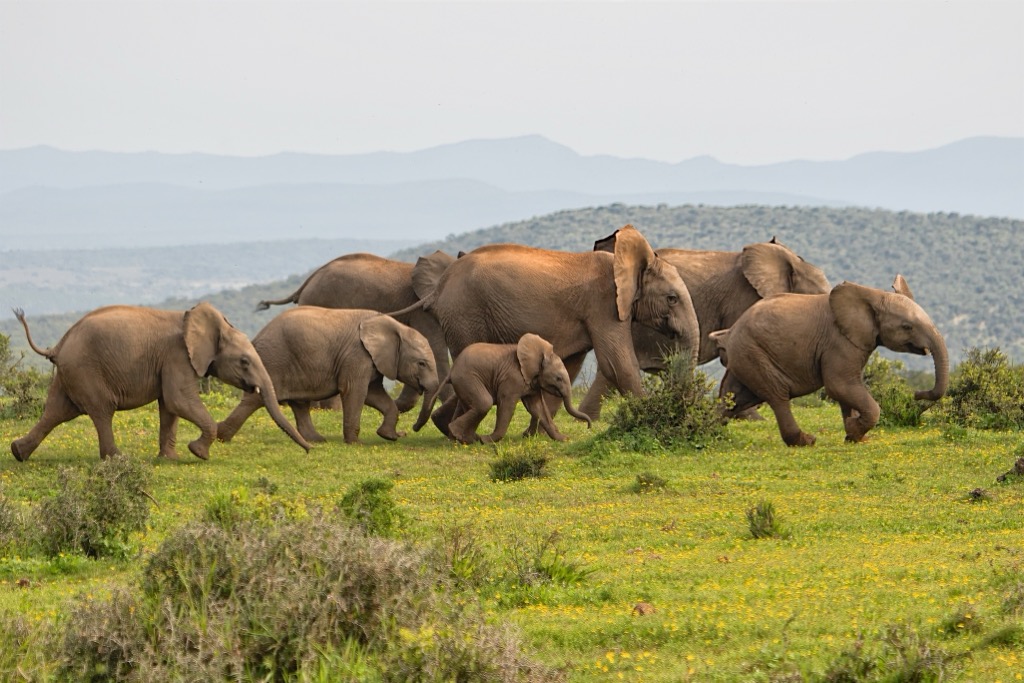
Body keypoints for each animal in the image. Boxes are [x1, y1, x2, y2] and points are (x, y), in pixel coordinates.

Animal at [10, 303, 311, 461]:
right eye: (245, 362)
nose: (310, 450)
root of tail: (59, 345)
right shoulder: (177, 356)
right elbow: (179, 399)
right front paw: (199, 454)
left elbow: (169, 406)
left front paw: (170, 459)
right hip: (86, 371)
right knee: (101, 411)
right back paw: (118, 459)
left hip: (69, 374)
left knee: (55, 412)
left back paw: (18, 453)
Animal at [216, 307, 439, 445]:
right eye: (422, 363)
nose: (410, 430)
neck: (395, 326)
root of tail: (257, 336)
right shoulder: (357, 355)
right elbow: (355, 391)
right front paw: (356, 443)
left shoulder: (370, 360)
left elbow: (373, 394)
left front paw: (388, 436)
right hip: (273, 360)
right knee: (255, 399)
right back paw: (221, 436)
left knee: (299, 403)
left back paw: (317, 440)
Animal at [414, 333, 592, 444]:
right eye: (558, 378)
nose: (589, 426)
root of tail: (452, 371)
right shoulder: (512, 379)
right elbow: (506, 405)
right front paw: (487, 440)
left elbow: (537, 408)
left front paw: (563, 439)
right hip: (467, 378)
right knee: (484, 403)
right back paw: (469, 438)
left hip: (464, 382)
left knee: (469, 406)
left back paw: (463, 439)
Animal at [709, 275, 948, 446]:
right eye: (907, 326)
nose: (917, 394)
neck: (872, 295)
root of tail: (729, 333)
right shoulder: (839, 341)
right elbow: (840, 385)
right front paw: (854, 429)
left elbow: (847, 389)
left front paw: (855, 437)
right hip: (753, 353)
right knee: (777, 395)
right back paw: (806, 441)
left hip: (745, 356)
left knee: (733, 398)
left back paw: (713, 430)